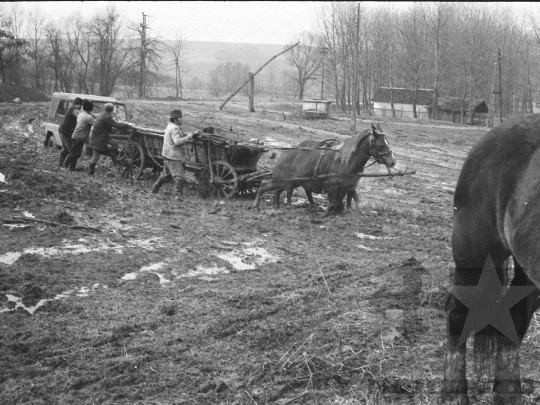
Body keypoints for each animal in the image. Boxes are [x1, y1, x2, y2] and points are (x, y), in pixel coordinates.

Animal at [253, 124, 396, 216]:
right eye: (381, 145)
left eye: (388, 143)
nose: (393, 162)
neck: (345, 161)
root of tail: (283, 154)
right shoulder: (331, 186)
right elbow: (333, 203)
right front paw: (326, 214)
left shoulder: (346, 187)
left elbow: (342, 201)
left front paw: (342, 212)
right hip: (281, 180)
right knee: (264, 186)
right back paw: (256, 205)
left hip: (291, 182)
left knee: (278, 191)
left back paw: (278, 206)